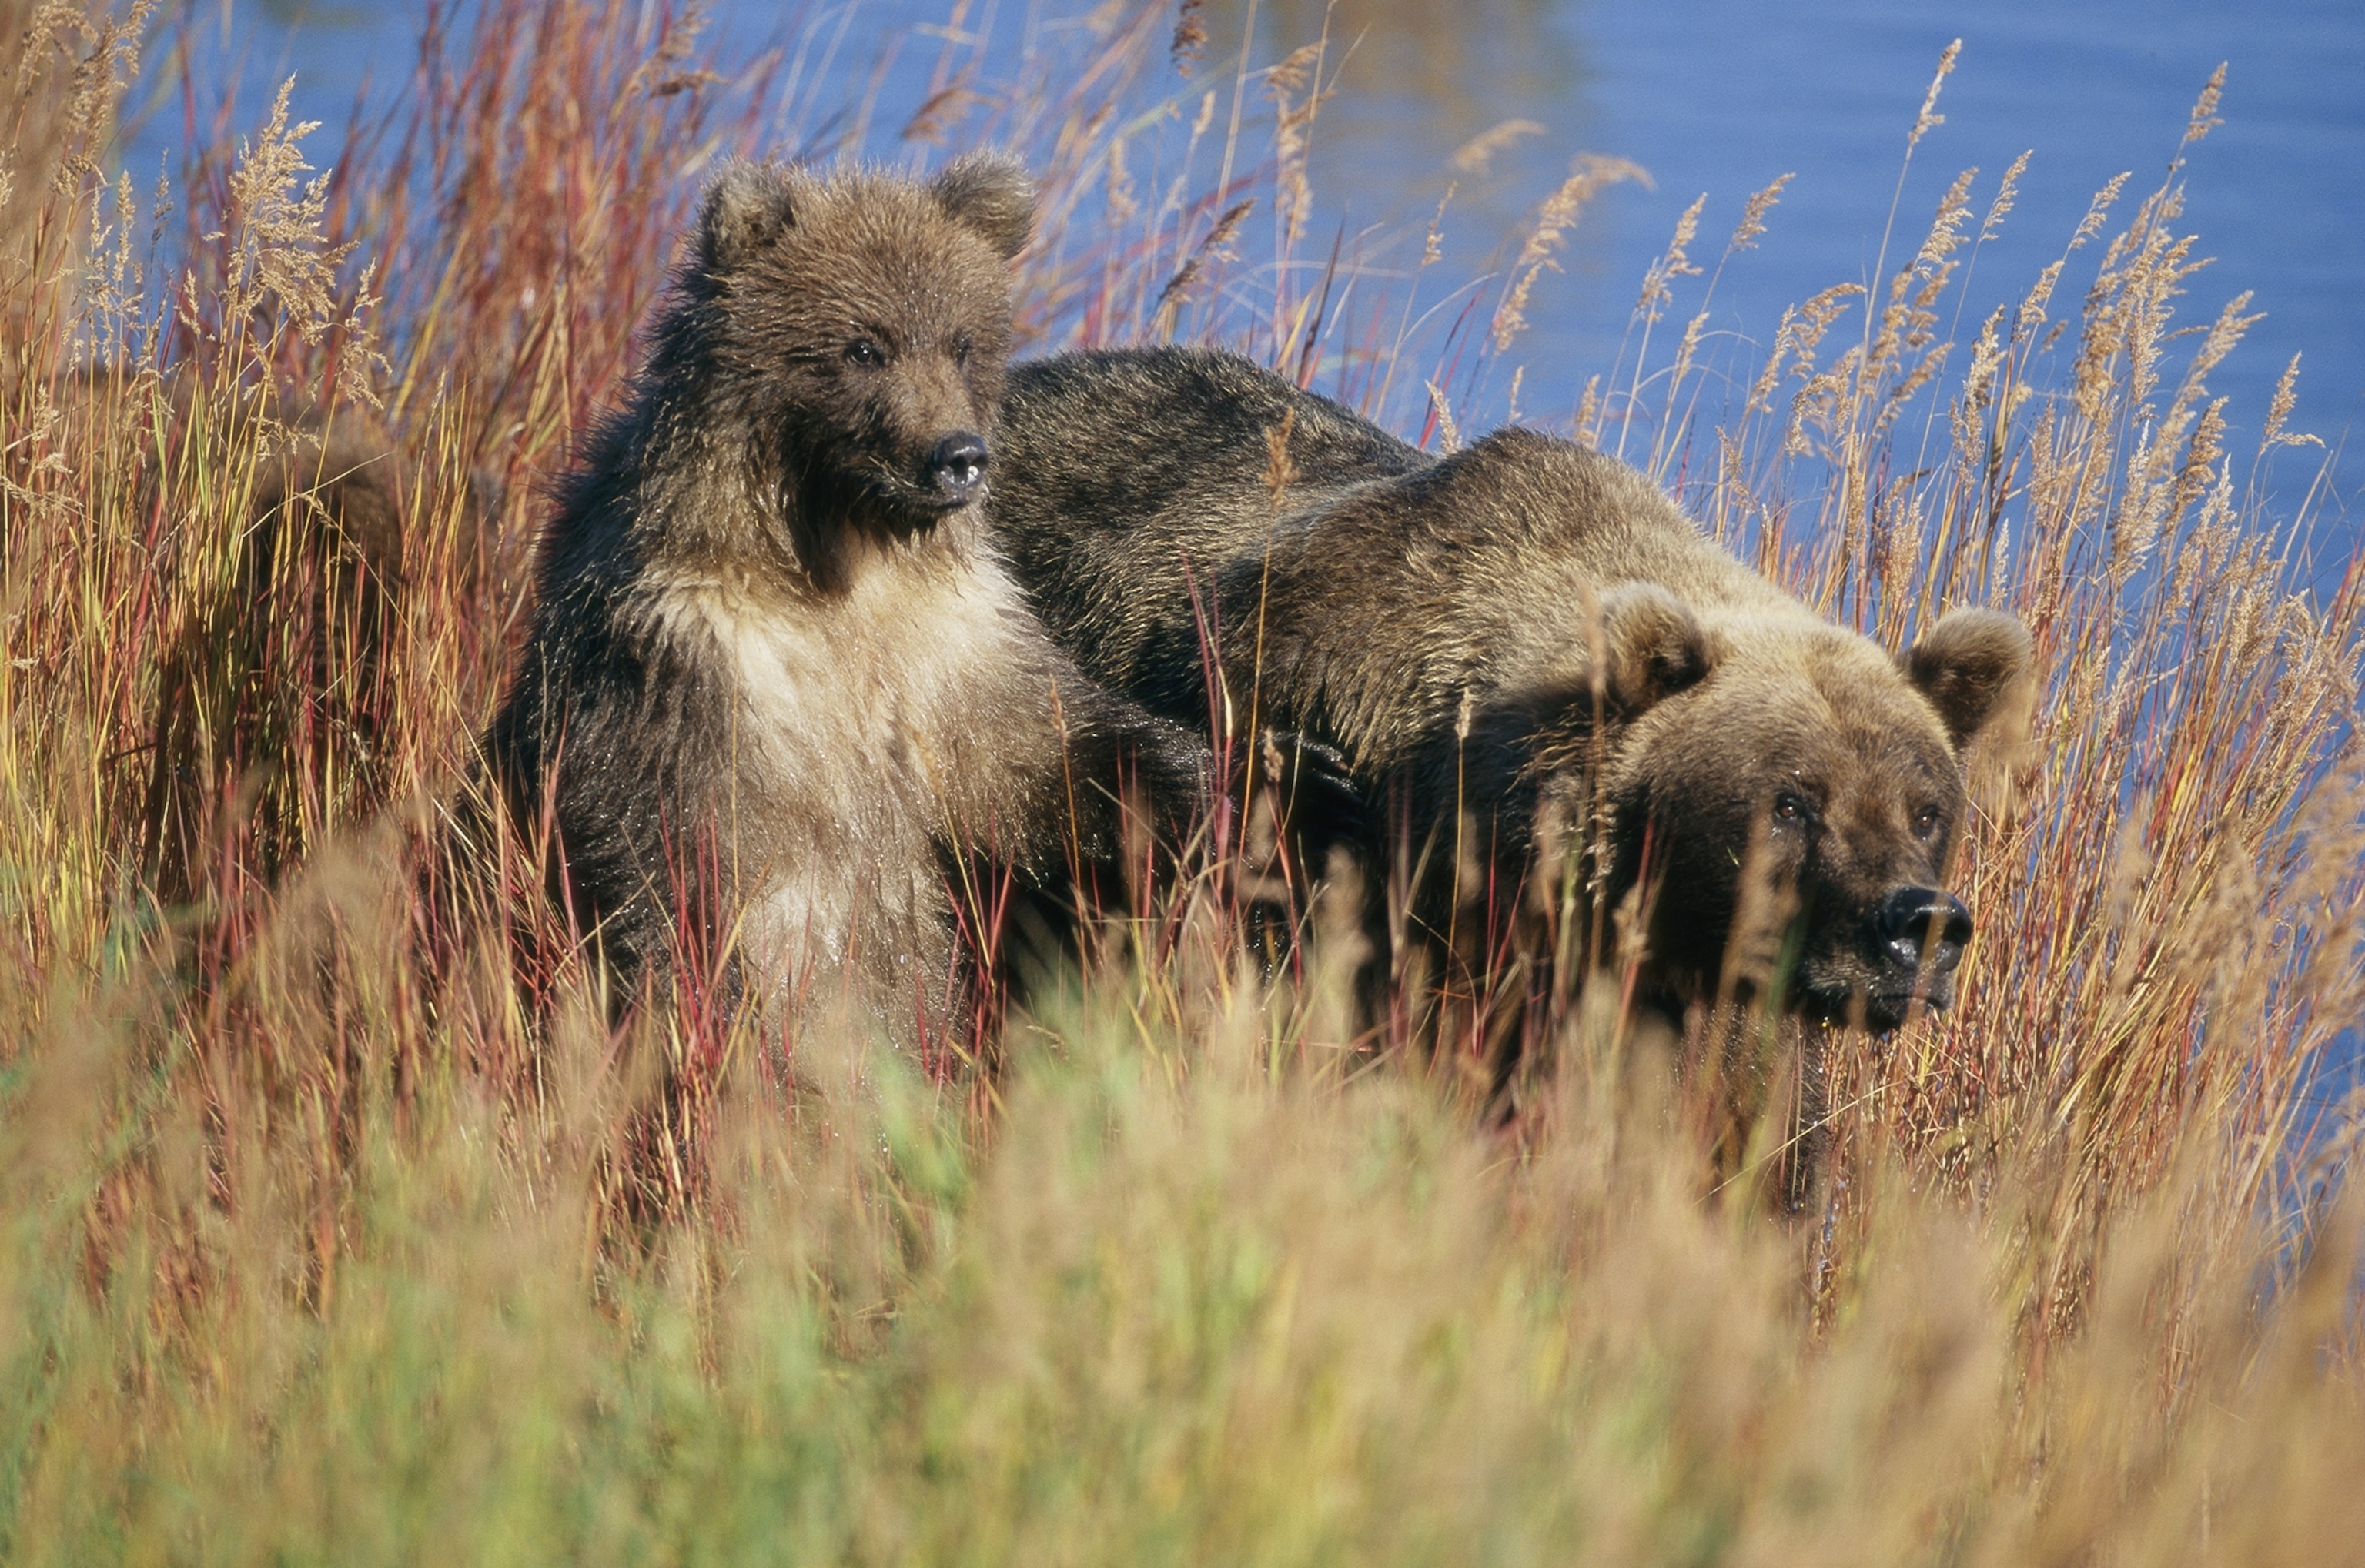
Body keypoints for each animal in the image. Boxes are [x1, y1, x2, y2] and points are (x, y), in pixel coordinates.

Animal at [487, 159, 1210, 1050]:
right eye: (864, 345)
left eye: (962, 342)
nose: (958, 456)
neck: (839, 553)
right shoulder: (688, 659)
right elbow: (662, 846)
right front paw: (717, 1014)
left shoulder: (950, 641)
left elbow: (1034, 750)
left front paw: (1200, 787)